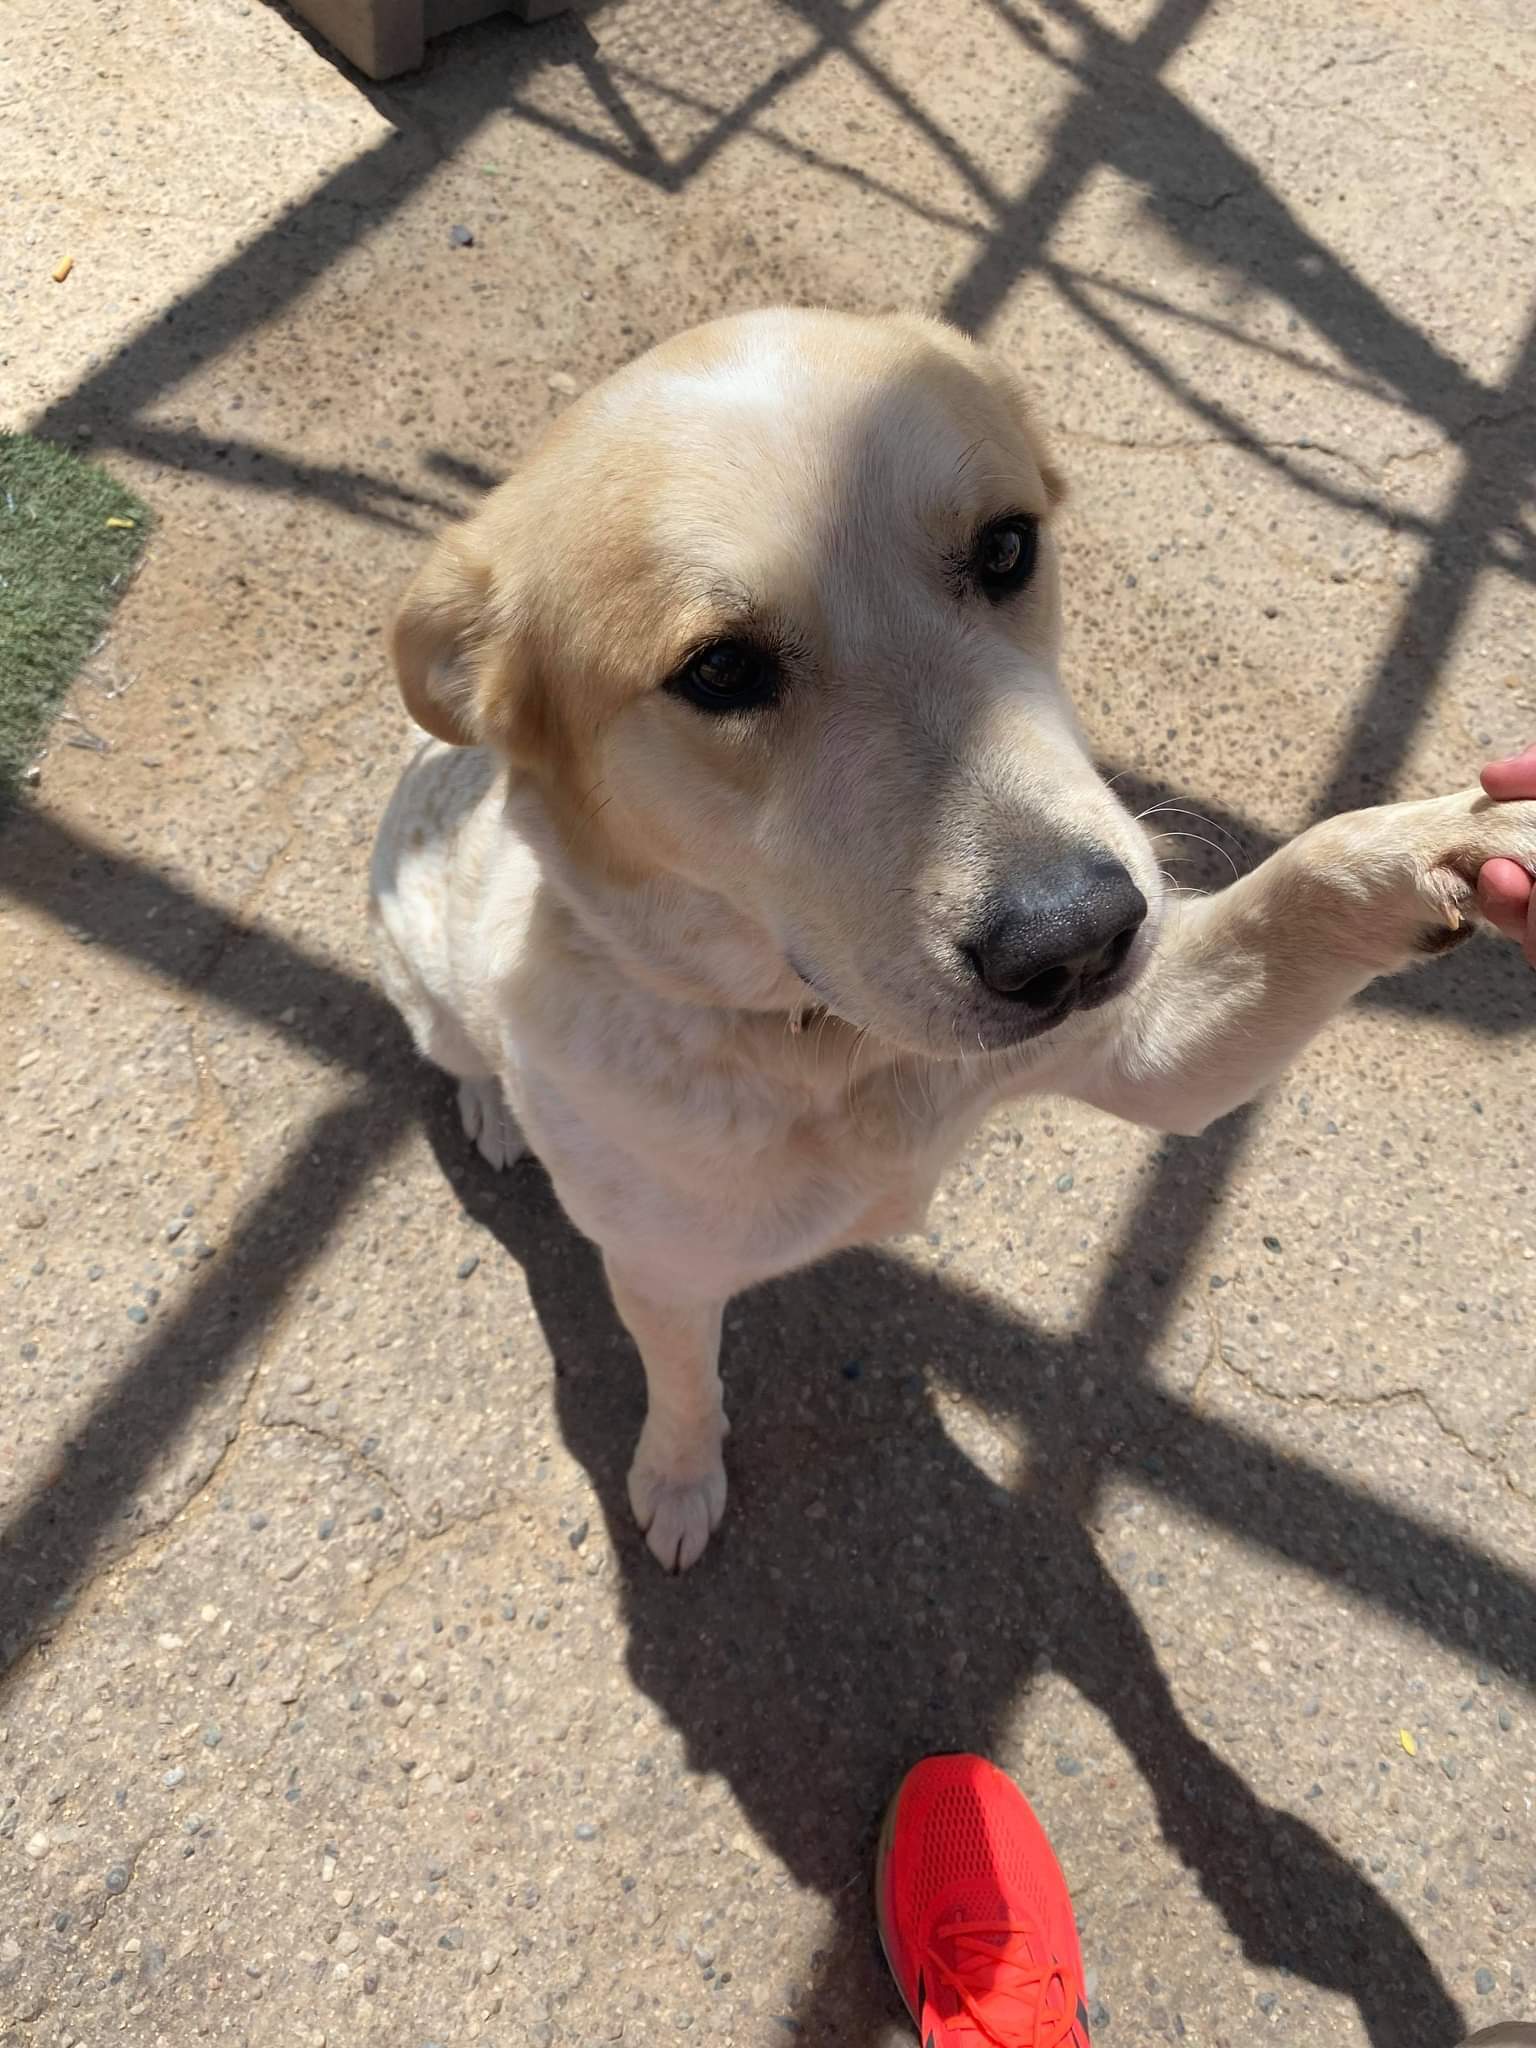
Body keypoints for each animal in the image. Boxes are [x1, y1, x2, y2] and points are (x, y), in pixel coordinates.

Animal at [372, 311, 1536, 1572]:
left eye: (1007, 547)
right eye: (719, 668)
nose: (1077, 940)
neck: (828, 1048)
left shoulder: (1156, 1048)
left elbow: (1309, 877)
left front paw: (1461, 832)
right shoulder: (662, 1275)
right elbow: (682, 1391)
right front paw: (677, 1483)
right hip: (421, 984)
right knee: (456, 1048)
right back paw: (491, 1109)